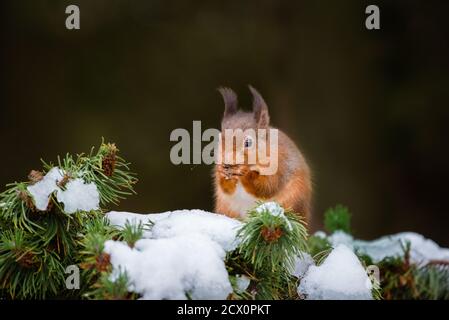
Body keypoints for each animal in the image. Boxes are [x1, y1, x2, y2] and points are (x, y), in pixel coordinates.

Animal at [214, 86, 312, 224]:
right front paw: (222, 173)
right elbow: (226, 189)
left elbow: (267, 186)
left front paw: (246, 173)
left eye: (248, 142)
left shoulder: (280, 165)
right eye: (219, 139)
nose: (227, 163)